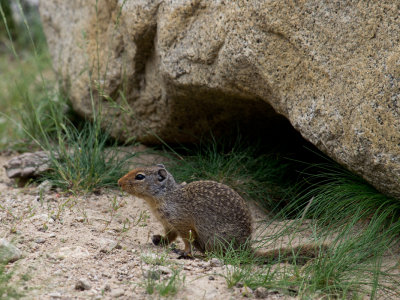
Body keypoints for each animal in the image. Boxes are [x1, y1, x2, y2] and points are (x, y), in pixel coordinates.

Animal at [118, 164, 324, 260]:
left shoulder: (183, 223)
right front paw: (158, 240)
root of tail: (245, 248)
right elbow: (170, 237)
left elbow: (187, 240)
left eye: (139, 176)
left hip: (215, 238)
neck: (166, 196)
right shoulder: (169, 225)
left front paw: (185, 253)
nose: (119, 182)